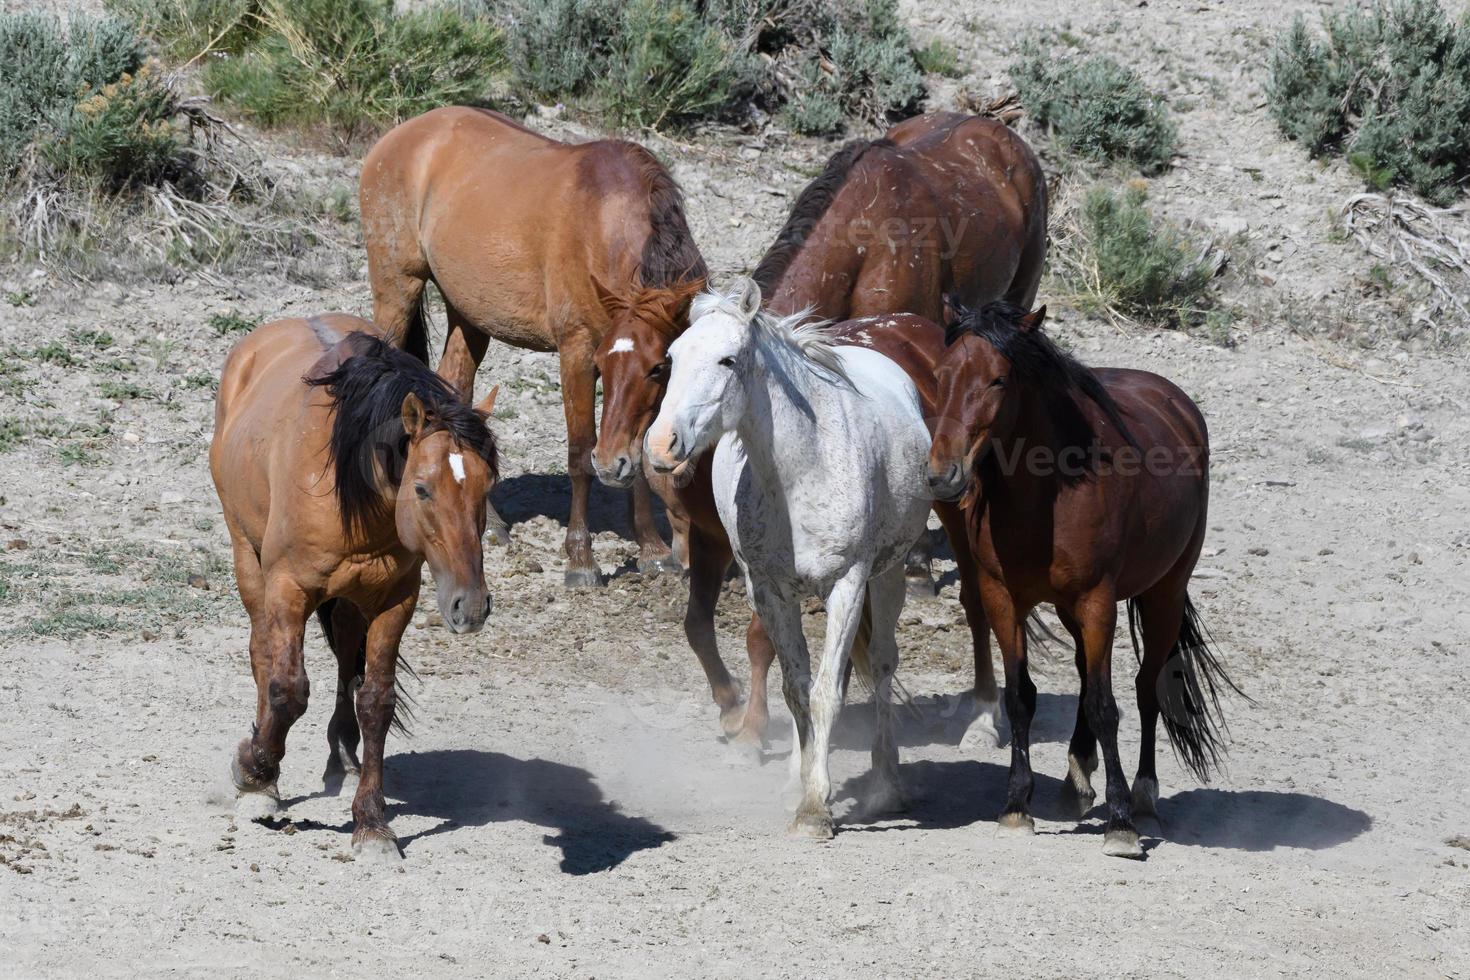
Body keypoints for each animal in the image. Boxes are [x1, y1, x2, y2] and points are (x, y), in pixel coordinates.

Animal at [208, 315, 499, 858]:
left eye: (487, 486)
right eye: (422, 488)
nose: (470, 606)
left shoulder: (395, 600)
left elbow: (376, 701)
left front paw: (371, 823)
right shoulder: (288, 589)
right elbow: (287, 689)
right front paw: (253, 771)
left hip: (349, 598)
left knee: (347, 661)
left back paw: (341, 757)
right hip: (247, 556)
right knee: (262, 655)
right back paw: (265, 784)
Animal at [355, 105, 699, 590]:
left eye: (658, 368)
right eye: (601, 361)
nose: (610, 466)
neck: (604, 221)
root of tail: (398, 137)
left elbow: (637, 445)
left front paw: (652, 548)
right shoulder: (576, 352)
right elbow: (580, 452)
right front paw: (581, 559)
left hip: (469, 316)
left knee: (459, 393)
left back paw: (490, 523)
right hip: (397, 289)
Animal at [585, 110, 1046, 743]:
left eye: (657, 365)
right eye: (603, 363)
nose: (616, 460)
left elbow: (760, 638)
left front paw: (756, 726)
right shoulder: (714, 542)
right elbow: (700, 627)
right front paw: (731, 705)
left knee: (976, 599)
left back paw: (980, 705)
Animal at [646, 277, 929, 846]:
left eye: (728, 359)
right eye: (671, 358)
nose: (661, 446)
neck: (802, 469)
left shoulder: (848, 584)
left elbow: (826, 694)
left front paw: (818, 810)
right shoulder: (770, 591)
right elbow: (797, 691)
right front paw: (806, 794)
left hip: (887, 575)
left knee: (882, 664)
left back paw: (886, 785)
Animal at [929, 302, 1240, 863]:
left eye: (998, 379)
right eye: (941, 376)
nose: (943, 474)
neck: (1046, 495)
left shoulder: (1098, 602)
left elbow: (1104, 705)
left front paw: (1120, 823)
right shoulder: (1003, 598)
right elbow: (1020, 697)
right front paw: (1016, 806)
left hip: (1162, 595)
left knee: (1144, 688)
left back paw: (1142, 796)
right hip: (1072, 610)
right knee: (1083, 674)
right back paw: (1077, 777)